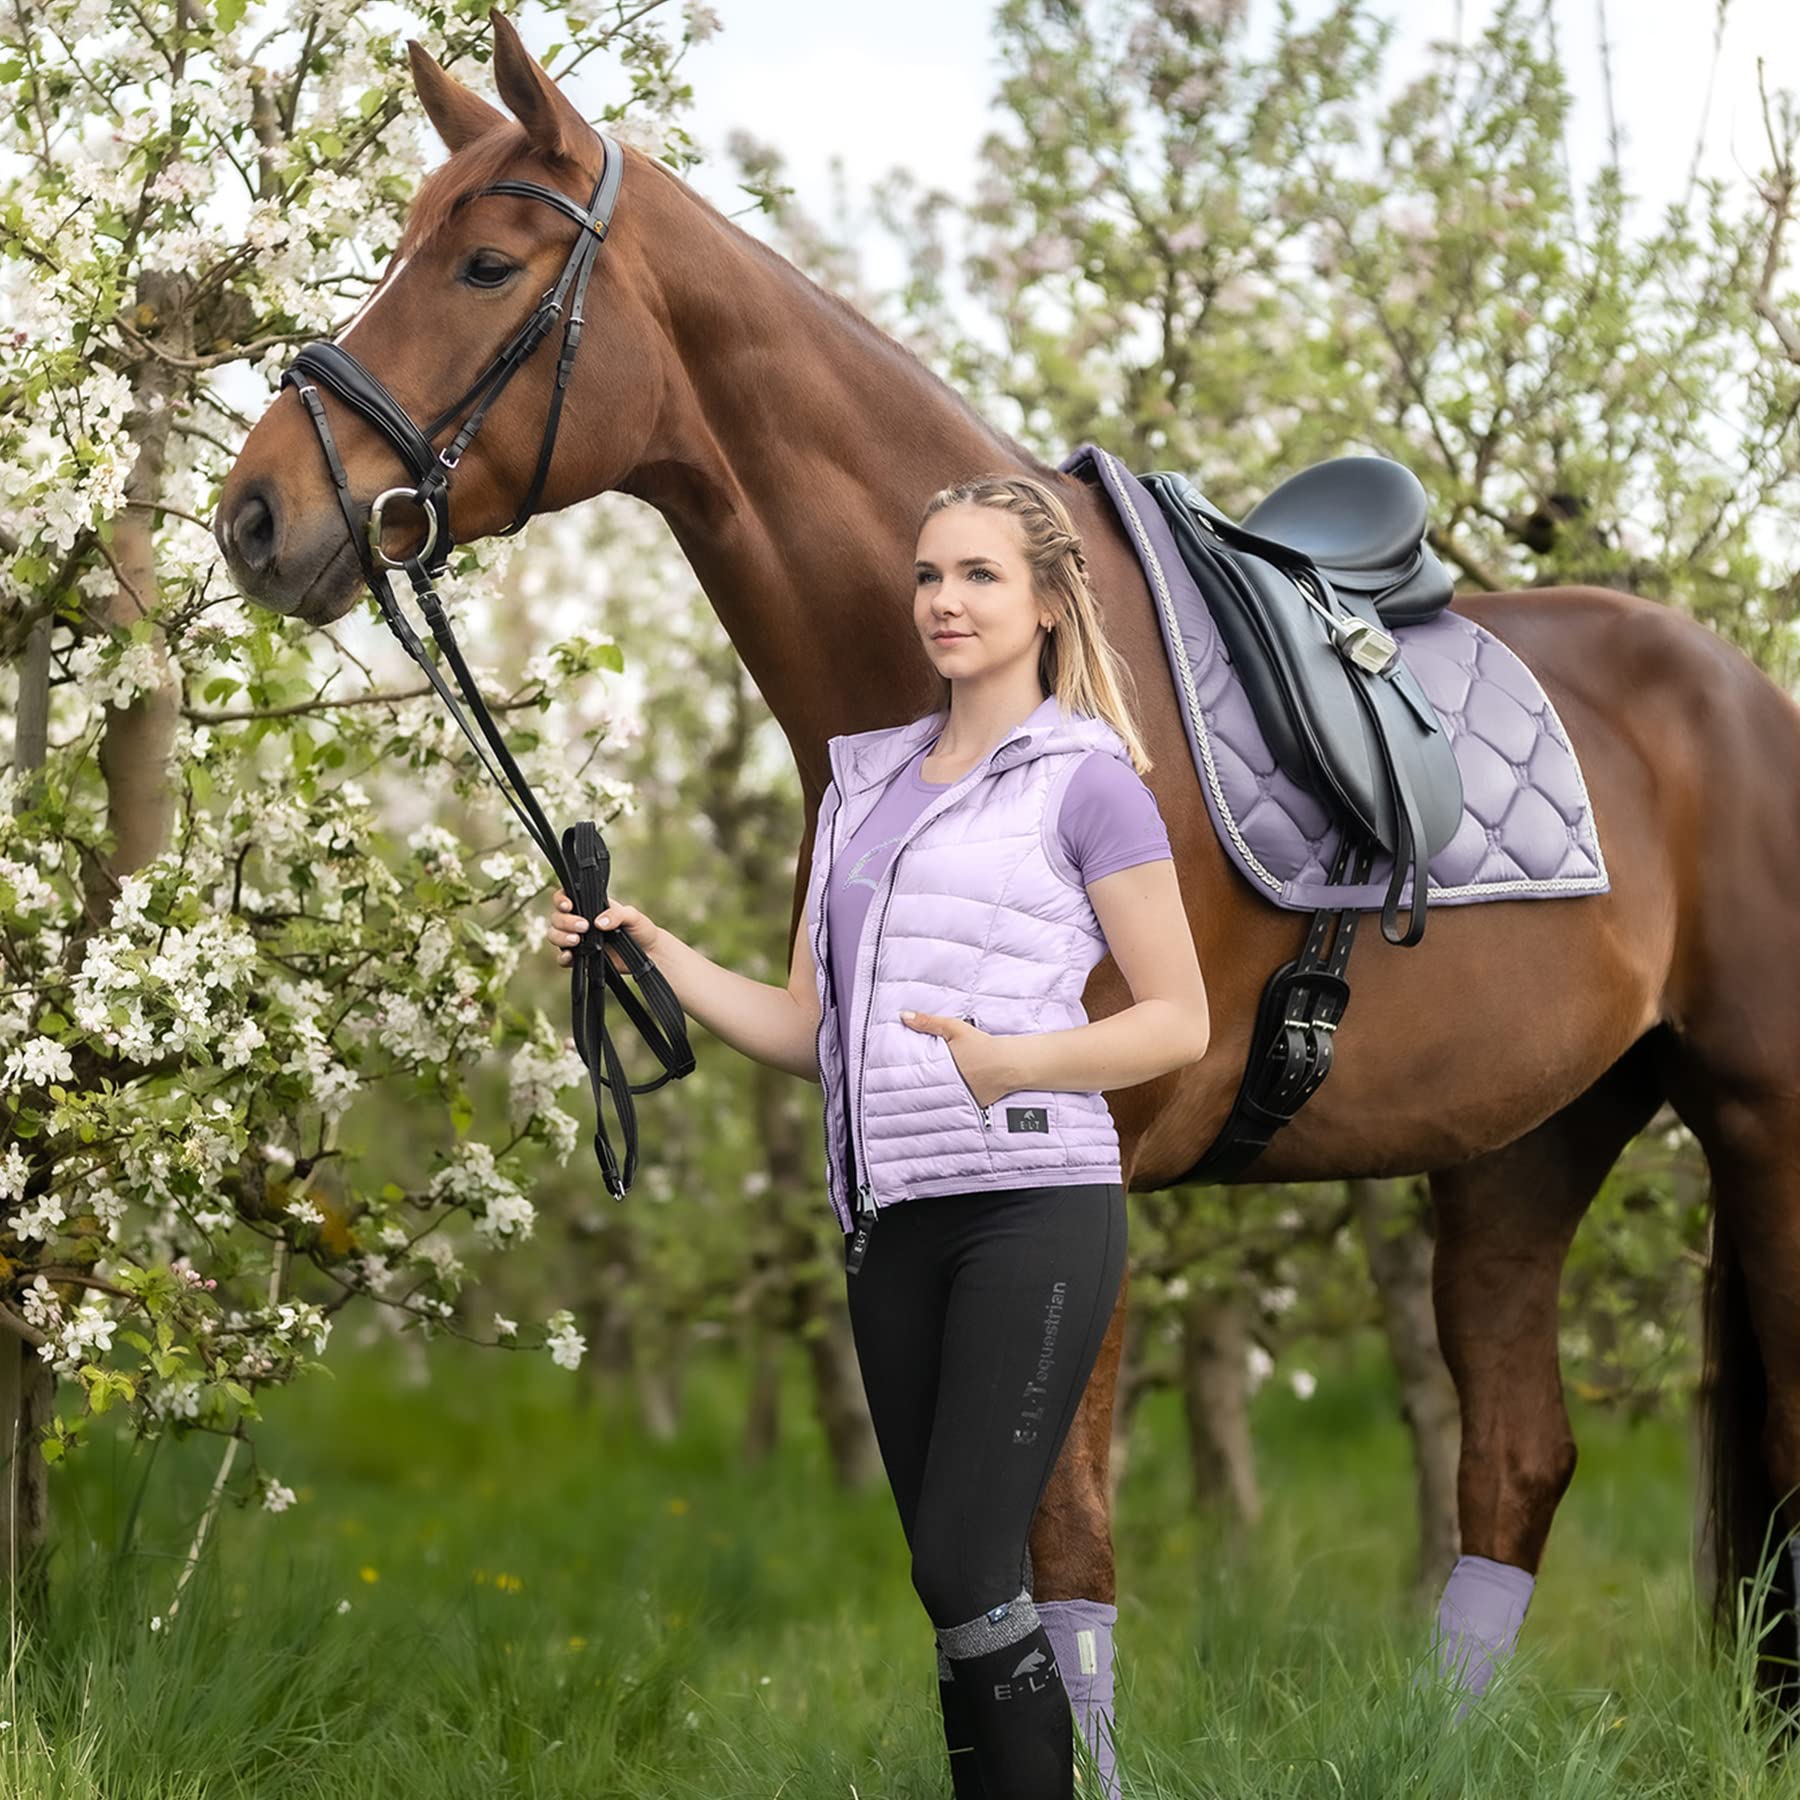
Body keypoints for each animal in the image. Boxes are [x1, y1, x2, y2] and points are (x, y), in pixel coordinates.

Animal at [213, 9, 1800, 1746]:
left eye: (489, 264)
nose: (255, 513)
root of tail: (1740, 691)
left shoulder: (1080, 1173)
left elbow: (1063, 1543)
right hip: (1524, 1144)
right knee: (1516, 1465)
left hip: (1761, 1121)